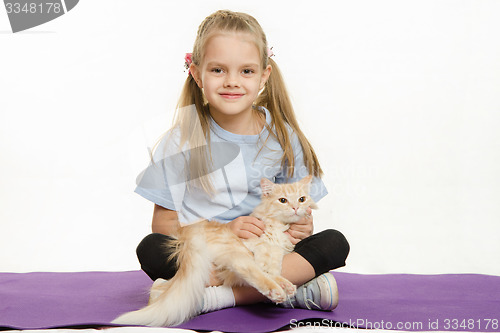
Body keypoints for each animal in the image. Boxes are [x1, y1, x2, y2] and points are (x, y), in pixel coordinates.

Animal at [113, 175, 316, 326]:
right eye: (283, 200)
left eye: (302, 199)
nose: (296, 207)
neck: (279, 228)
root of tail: (188, 235)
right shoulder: (255, 245)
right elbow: (264, 263)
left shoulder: (278, 253)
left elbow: (274, 267)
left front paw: (281, 278)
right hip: (235, 251)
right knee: (248, 271)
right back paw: (276, 291)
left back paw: (286, 287)